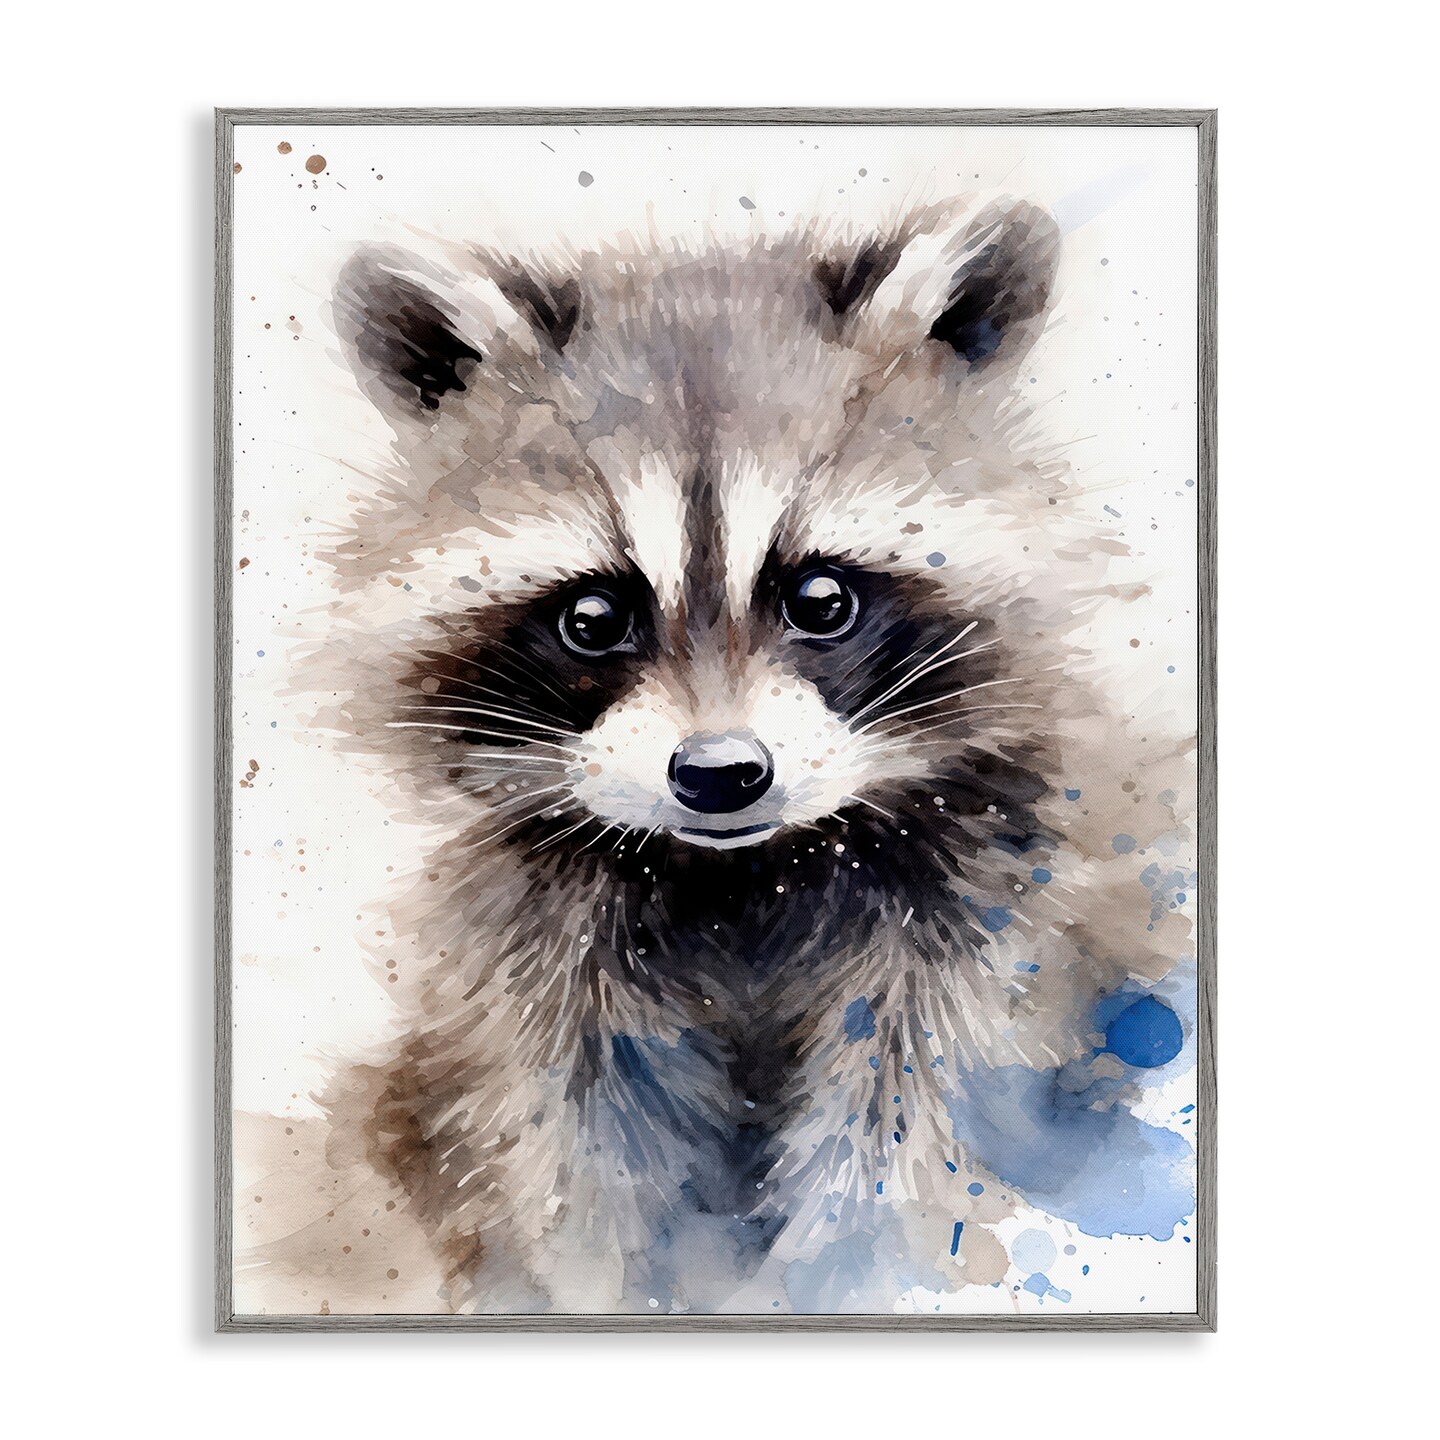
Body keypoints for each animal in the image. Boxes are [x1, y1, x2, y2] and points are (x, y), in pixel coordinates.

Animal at [294, 199, 1196, 1314]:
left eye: (821, 598)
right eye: (593, 618)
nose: (720, 776)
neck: (743, 877)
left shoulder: (996, 904)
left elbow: (910, 1126)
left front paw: (849, 1271)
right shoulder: (536, 961)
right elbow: (576, 1157)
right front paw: (604, 1282)